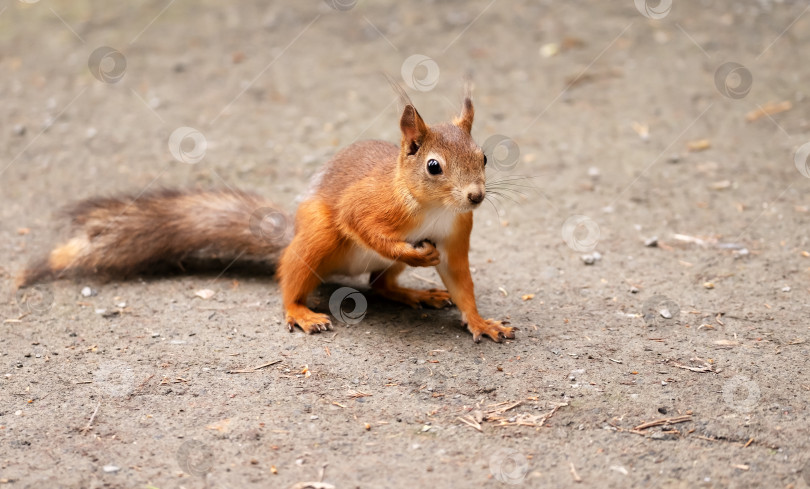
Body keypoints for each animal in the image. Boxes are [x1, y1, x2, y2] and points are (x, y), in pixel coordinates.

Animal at [15, 86, 516, 342]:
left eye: (484, 157)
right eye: (433, 166)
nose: (476, 196)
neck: (433, 209)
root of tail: (290, 233)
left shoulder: (456, 235)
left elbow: (461, 282)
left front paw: (480, 322)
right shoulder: (368, 204)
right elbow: (364, 226)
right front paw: (415, 255)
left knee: (380, 284)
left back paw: (417, 295)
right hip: (317, 236)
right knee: (293, 278)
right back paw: (301, 311)